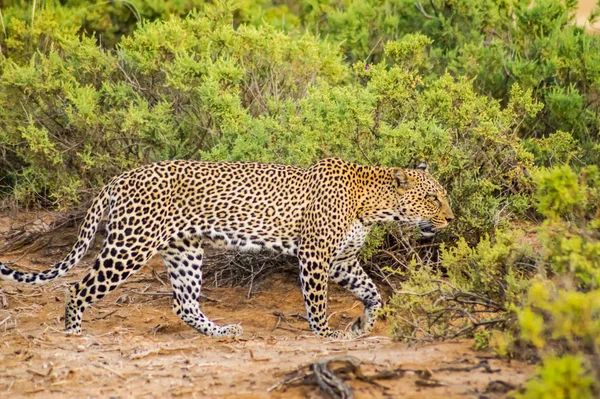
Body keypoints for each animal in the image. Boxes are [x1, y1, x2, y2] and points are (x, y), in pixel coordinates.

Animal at [0, 158, 450, 340]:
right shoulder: (315, 255)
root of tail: (120, 177)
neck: (372, 205)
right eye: (433, 198)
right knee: (77, 288)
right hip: (131, 245)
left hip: (184, 251)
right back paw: (73, 334)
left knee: (184, 304)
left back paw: (222, 332)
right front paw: (327, 334)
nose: (450, 218)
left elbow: (372, 293)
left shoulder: (342, 260)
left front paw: (361, 325)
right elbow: (317, 302)